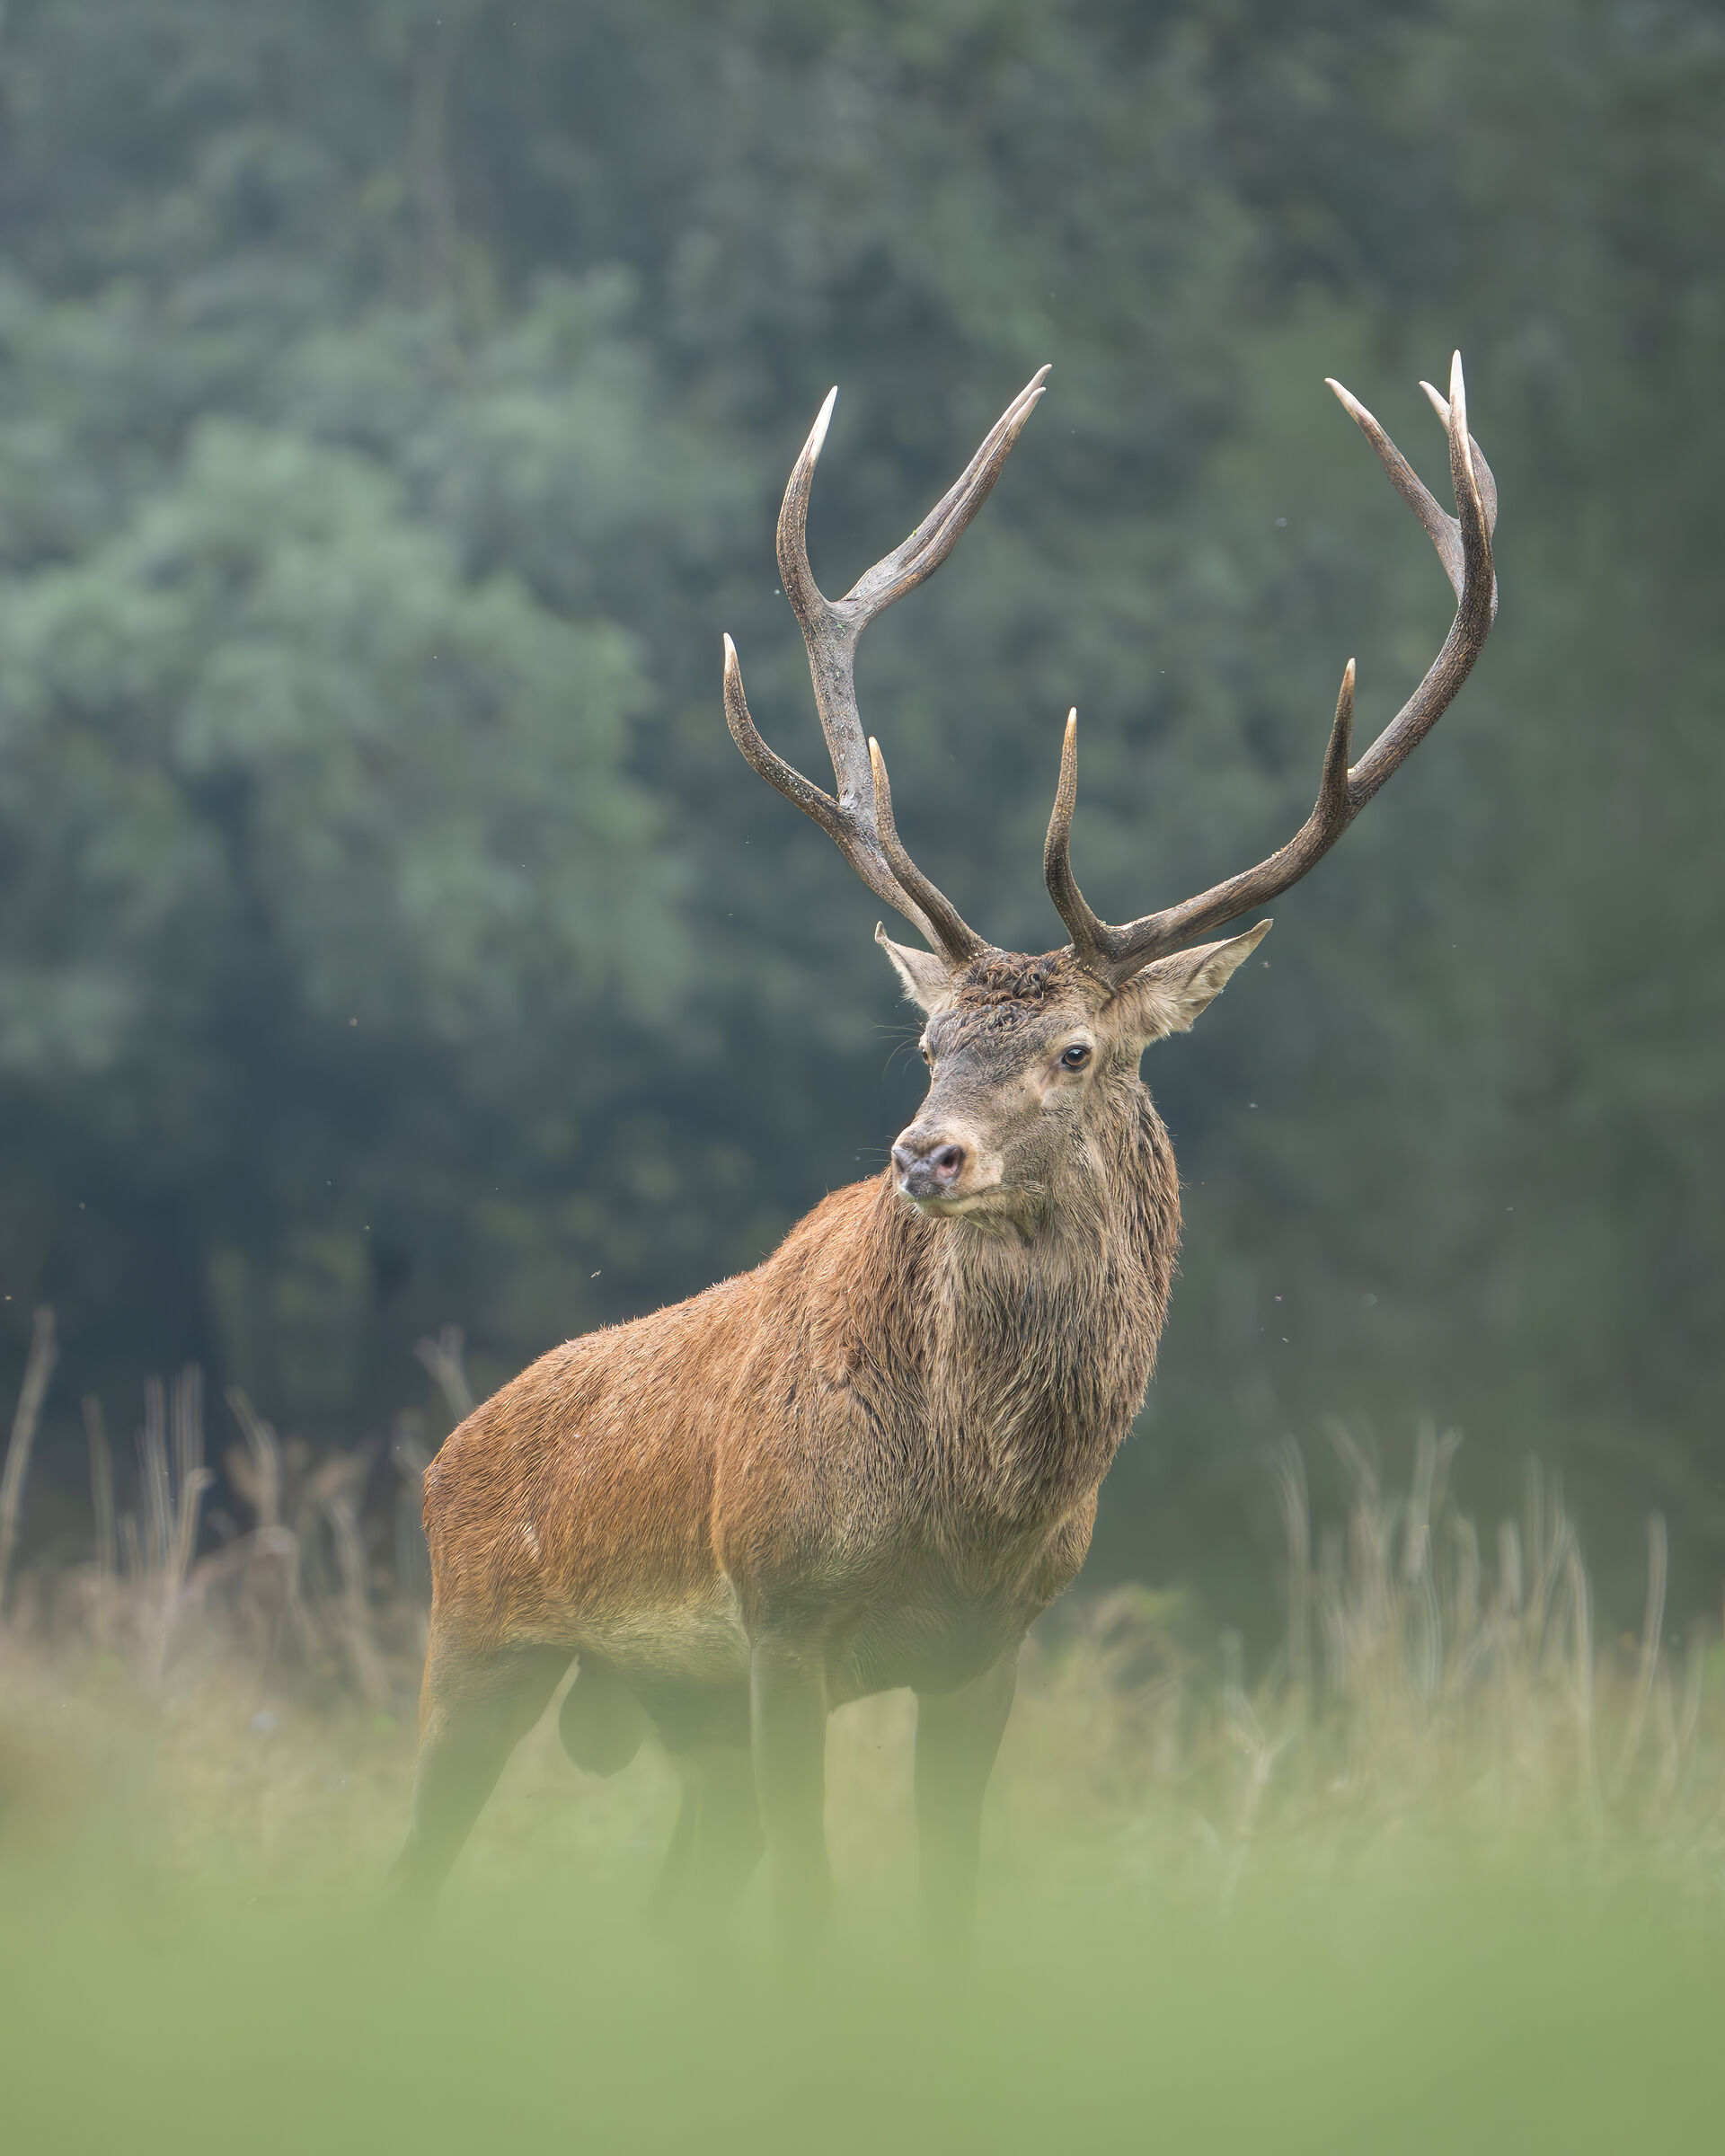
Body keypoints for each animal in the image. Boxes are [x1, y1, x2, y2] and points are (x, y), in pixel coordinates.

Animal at [392, 355, 1496, 1958]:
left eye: (1076, 1052)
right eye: (929, 1041)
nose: (927, 1157)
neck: (966, 1510)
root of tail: (442, 1460)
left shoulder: (993, 1649)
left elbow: (948, 1909)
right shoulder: (779, 1612)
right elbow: (809, 1913)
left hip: (680, 1719)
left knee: (669, 1920)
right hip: (472, 1642)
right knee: (401, 1877)